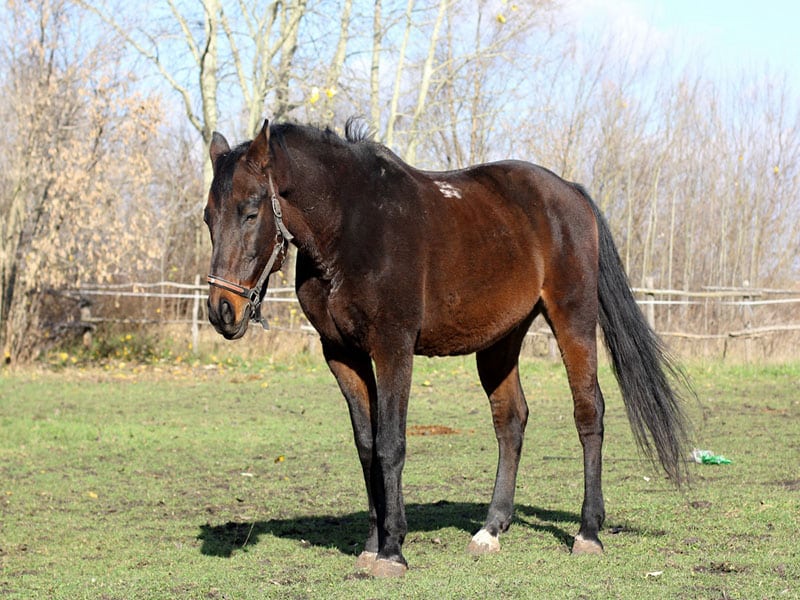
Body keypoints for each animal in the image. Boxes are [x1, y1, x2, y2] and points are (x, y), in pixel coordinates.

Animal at [204, 119, 691, 578]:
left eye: (251, 213)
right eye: (209, 217)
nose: (222, 310)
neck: (351, 228)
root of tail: (571, 192)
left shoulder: (393, 348)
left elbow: (391, 444)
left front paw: (393, 551)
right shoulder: (342, 355)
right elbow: (367, 446)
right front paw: (372, 544)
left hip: (574, 320)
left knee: (589, 412)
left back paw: (588, 532)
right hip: (500, 340)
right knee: (510, 420)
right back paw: (491, 528)